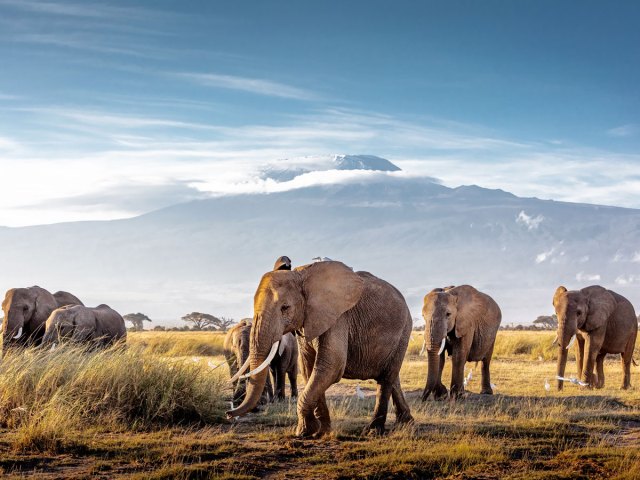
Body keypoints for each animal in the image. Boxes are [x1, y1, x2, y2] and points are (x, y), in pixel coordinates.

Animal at [228, 260, 412, 436]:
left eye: (285, 308)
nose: (229, 414)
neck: (301, 275)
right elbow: (309, 368)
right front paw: (321, 431)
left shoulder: (338, 318)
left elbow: (331, 366)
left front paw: (303, 432)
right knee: (391, 376)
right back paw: (405, 422)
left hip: (404, 330)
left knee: (386, 379)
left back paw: (374, 431)